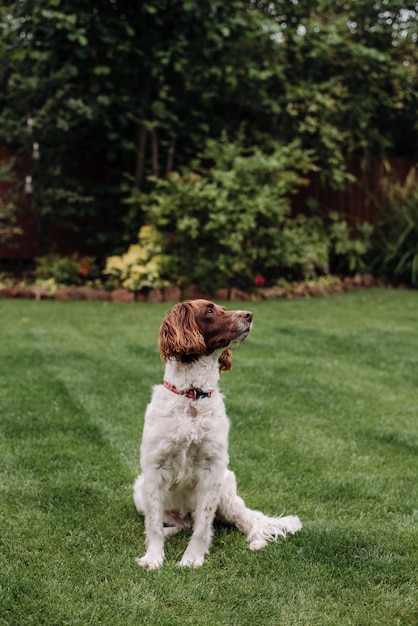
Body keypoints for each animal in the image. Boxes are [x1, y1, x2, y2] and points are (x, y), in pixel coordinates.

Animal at [134, 300, 300, 568]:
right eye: (210, 311)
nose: (249, 315)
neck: (192, 395)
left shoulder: (212, 469)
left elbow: (203, 525)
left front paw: (192, 559)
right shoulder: (154, 467)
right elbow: (154, 524)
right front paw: (153, 557)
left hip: (227, 492)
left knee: (248, 521)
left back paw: (257, 542)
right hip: (139, 490)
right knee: (180, 523)